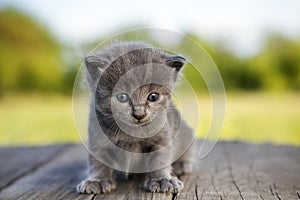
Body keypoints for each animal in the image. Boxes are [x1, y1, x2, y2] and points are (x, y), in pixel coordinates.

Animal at [77, 41, 195, 194]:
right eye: (122, 97)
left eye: (153, 96)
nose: (139, 114)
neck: (131, 134)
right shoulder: (97, 139)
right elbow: (98, 161)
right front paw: (97, 180)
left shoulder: (162, 136)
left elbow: (160, 158)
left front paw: (162, 179)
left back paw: (182, 164)